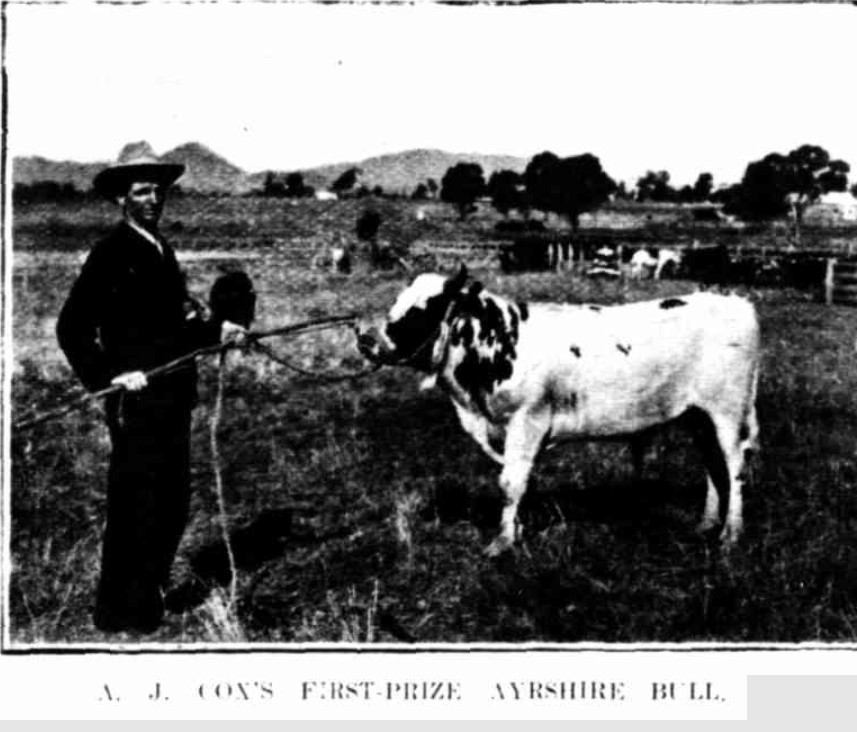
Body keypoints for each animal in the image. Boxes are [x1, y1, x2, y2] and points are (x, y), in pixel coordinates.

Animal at [358, 266, 760, 556]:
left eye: (422, 309)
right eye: (397, 301)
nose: (365, 339)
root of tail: (735, 302)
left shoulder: (528, 419)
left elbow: (510, 483)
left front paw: (502, 543)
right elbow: (517, 481)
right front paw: (515, 531)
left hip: (729, 411)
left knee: (735, 468)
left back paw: (731, 535)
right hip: (698, 416)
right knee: (713, 466)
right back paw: (706, 525)